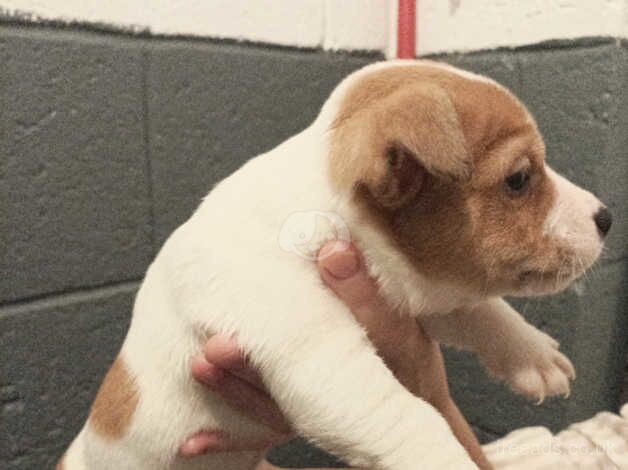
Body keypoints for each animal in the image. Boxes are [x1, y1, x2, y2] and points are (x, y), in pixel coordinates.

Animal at [57, 59, 608, 470]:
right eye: (519, 179)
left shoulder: (416, 292)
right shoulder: (322, 360)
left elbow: (484, 311)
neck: (329, 218)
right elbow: (412, 418)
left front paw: (532, 354)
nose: (606, 217)